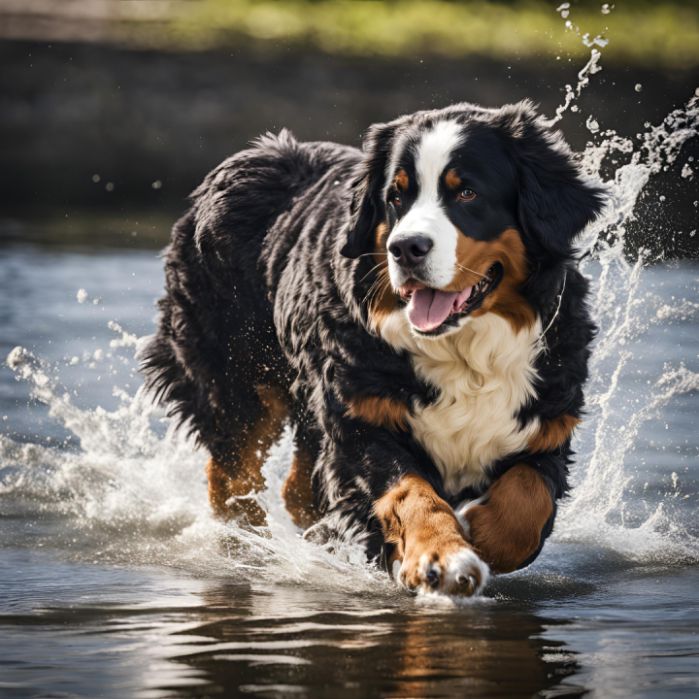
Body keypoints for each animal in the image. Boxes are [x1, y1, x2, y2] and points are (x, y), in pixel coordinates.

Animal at [141, 101, 600, 600]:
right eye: (396, 197)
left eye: (468, 193)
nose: (406, 247)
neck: (464, 348)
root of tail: (253, 155)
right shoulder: (364, 424)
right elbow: (412, 494)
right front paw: (441, 557)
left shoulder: (548, 424)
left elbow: (526, 502)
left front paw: (480, 532)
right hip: (238, 382)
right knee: (231, 477)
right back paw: (250, 547)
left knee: (296, 488)